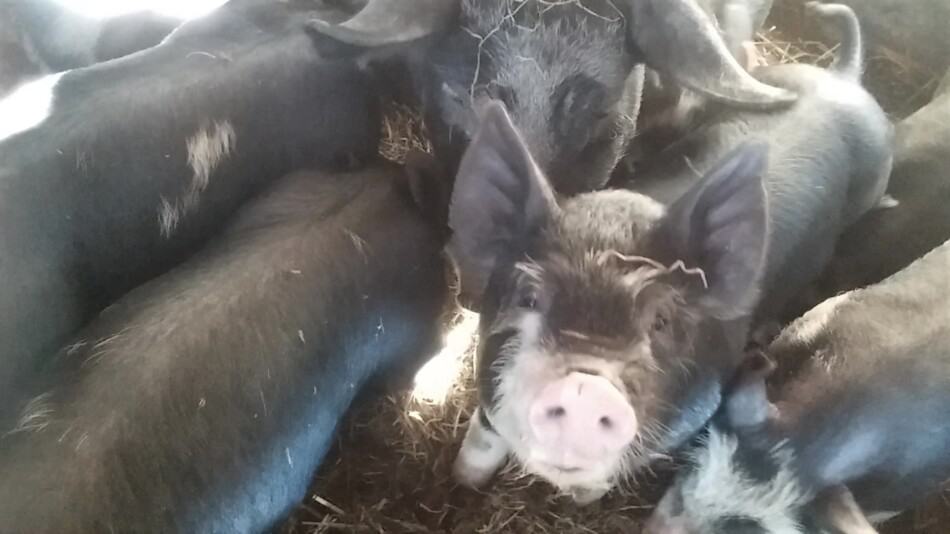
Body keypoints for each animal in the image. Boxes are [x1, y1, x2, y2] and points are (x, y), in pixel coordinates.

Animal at [446, 101, 772, 506]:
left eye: (660, 320)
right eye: (529, 298)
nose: (585, 389)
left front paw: (581, 501)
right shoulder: (487, 392)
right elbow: (482, 442)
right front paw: (462, 483)